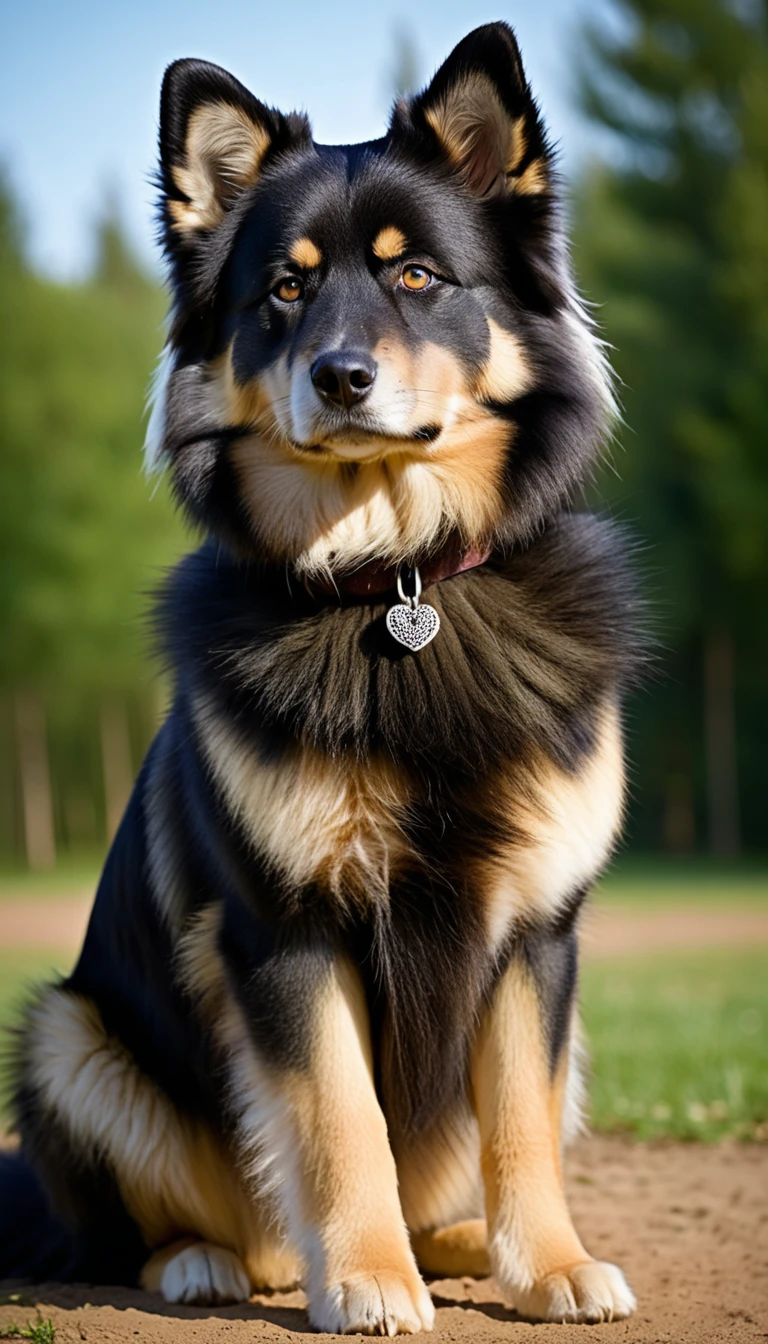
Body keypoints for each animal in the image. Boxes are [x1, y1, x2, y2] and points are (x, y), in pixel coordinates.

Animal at [0, 21, 642, 1333]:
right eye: (284, 288)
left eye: (418, 278)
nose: (340, 376)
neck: (396, 578)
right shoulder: (284, 930)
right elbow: (342, 1122)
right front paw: (367, 1280)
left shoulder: (537, 932)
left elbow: (519, 1121)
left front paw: (548, 1266)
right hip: (66, 1035)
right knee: (153, 1233)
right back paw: (212, 1261)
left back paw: (459, 1246)